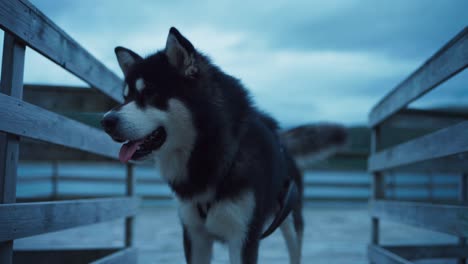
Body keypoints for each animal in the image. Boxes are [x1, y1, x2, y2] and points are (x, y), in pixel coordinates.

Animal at [100, 27, 346, 264]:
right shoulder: (194, 236)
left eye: (149, 93)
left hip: (291, 221)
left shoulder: (243, 238)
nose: (106, 122)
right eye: (125, 97)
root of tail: (282, 140)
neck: (207, 152)